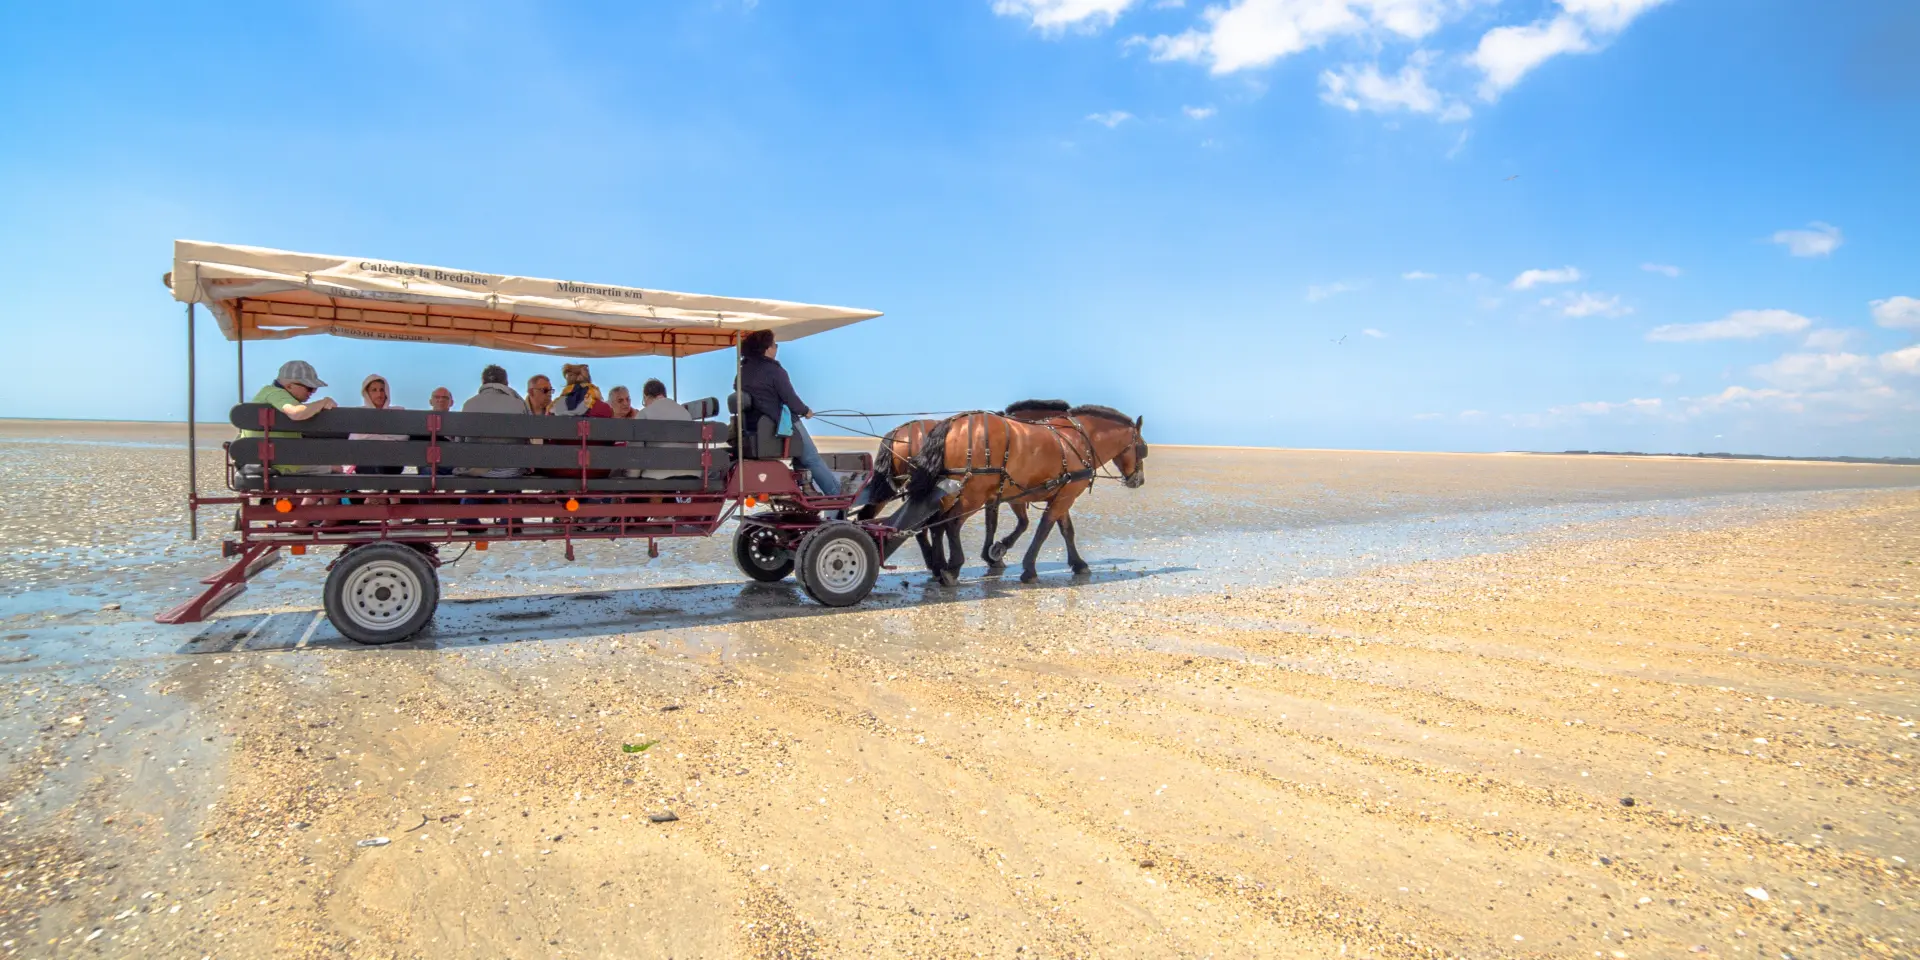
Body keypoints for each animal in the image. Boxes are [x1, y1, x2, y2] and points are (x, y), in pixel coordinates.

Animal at [892, 405, 1147, 585]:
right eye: (1142, 449)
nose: (1139, 480)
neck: (1078, 439)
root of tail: (951, 424)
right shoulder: (1063, 496)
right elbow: (1043, 529)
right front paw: (1028, 567)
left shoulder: (1057, 493)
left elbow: (1065, 530)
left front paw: (1078, 563)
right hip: (971, 494)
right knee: (950, 524)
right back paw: (952, 568)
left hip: (947, 490)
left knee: (936, 524)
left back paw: (938, 566)